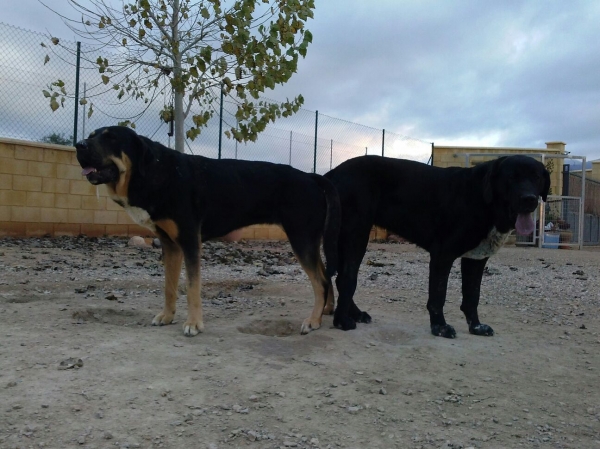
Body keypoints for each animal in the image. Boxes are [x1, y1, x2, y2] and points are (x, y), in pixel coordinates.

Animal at [74, 126, 338, 336]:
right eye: (92, 135)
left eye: (111, 138)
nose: (79, 145)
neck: (156, 172)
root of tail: (311, 177)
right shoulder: (170, 245)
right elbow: (169, 286)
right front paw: (167, 316)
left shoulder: (190, 241)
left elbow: (192, 288)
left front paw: (193, 324)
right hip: (308, 241)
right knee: (326, 277)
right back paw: (326, 310)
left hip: (301, 239)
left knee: (320, 283)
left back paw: (313, 320)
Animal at [324, 154, 548, 336]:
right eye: (511, 177)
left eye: (536, 177)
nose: (529, 199)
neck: (483, 199)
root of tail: (333, 172)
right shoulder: (443, 255)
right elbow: (438, 295)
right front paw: (440, 327)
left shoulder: (475, 259)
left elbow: (472, 296)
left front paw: (476, 327)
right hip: (356, 235)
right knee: (347, 278)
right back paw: (342, 321)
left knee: (342, 278)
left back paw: (355, 314)